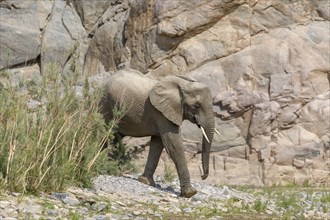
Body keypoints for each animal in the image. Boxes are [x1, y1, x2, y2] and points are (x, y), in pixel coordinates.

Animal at [99, 69, 215, 198]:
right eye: (196, 106)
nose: (202, 176)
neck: (182, 85)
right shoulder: (161, 113)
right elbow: (173, 145)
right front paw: (190, 193)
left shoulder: (162, 114)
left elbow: (157, 144)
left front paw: (145, 181)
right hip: (105, 103)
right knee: (103, 133)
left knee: (114, 137)